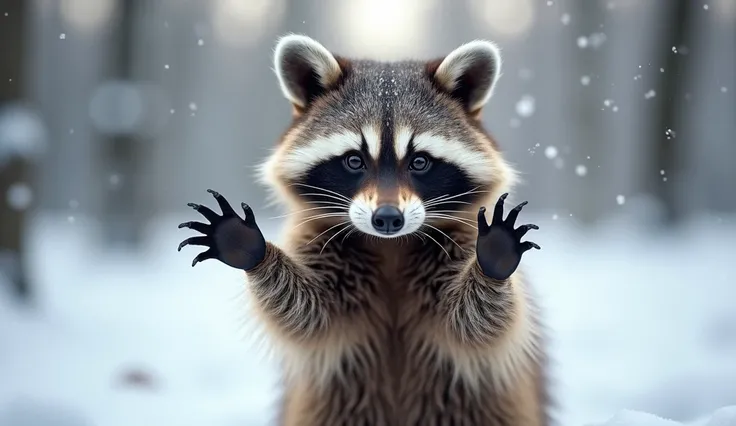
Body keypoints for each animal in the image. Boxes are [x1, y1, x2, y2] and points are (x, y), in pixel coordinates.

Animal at [177, 34, 548, 426]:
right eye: (354, 161)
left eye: (420, 162)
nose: (387, 218)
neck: (391, 245)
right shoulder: (319, 242)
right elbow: (309, 313)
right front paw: (251, 250)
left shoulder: (459, 240)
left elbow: (478, 323)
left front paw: (492, 262)